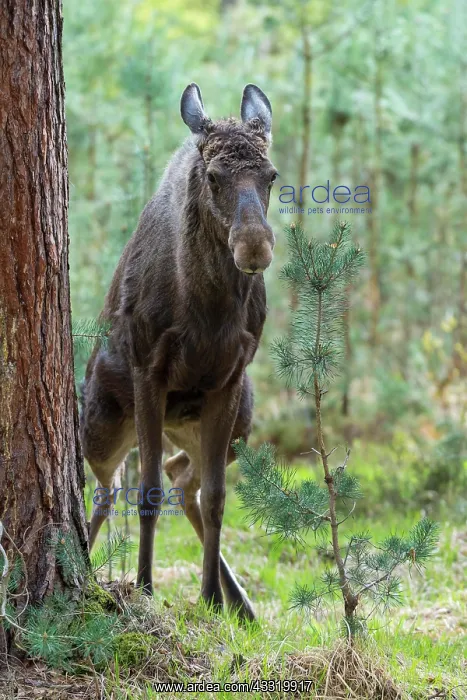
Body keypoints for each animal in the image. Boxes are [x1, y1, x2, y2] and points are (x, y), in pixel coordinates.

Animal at [79, 83, 277, 621]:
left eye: (271, 175)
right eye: (212, 176)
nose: (254, 247)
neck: (207, 307)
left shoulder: (229, 378)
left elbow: (216, 497)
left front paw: (209, 598)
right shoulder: (150, 369)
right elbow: (147, 493)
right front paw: (145, 588)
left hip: (238, 422)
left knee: (181, 477)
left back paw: (238, 601)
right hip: (101, 424)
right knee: (109, 489)